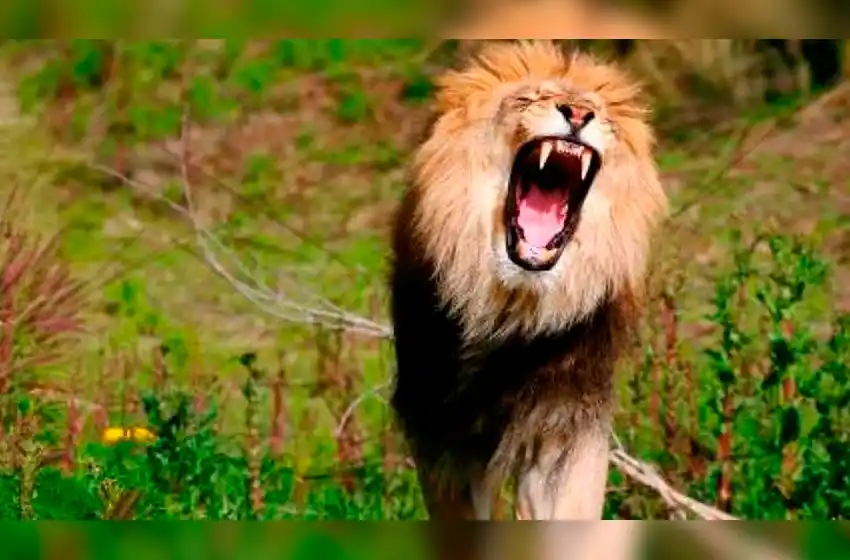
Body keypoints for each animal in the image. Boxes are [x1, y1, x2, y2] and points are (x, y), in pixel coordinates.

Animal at [389, 40, 668, 521]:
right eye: (528, 98)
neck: (510, 306)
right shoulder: (438, 435)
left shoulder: (566, 427)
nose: (578, 114)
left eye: (598, 111)